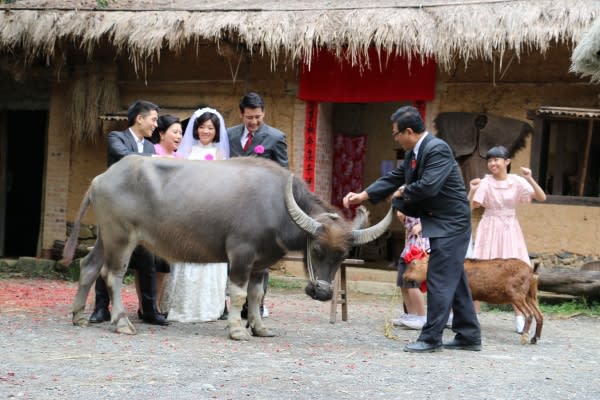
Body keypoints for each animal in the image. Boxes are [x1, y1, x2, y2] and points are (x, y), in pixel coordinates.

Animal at [62, 156, 394, 340]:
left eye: (342, 255)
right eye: (317, 250)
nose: (323, 293)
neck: (278, 206)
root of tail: (100, 178)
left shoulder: (260, 263)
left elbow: (257, 295)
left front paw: (259, 328)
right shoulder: (241, 256)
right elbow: (238, 293)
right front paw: (237, 330)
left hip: (105, 237)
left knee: (88, 267)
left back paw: (78, 316)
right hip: (121, 237)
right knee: (113, 275)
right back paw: (122, 323)